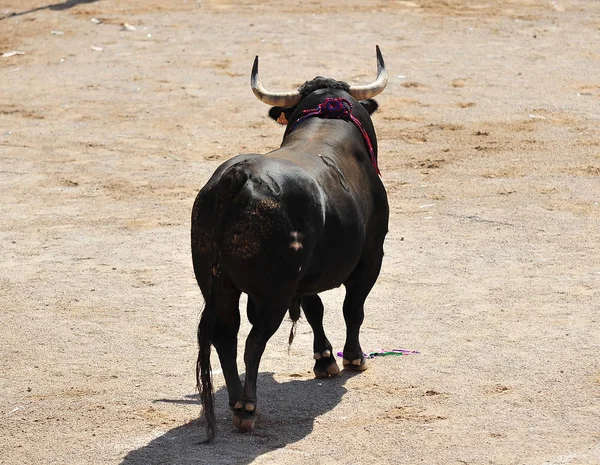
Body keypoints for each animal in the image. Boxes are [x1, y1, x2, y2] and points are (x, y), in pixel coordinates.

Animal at [191, 45, 390, 440]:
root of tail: (237, 177)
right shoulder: (371, 256)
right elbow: (352, 308)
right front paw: (353, 357)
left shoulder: (306, 275)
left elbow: (315, 309)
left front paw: (325, 360)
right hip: (274, 291)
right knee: (253, 342)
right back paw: (247, 408)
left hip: (218, 285)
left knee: (225, 335)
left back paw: (235, 400)